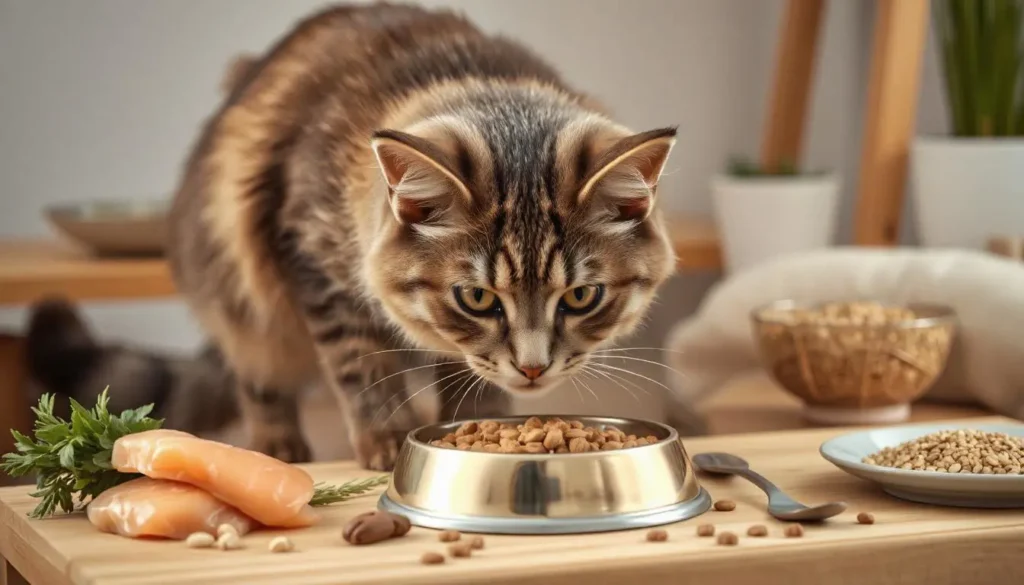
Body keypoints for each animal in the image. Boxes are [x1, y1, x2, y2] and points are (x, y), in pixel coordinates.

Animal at [165, 1, 679, 471]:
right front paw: (388, 440)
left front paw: (481, 425)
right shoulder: (314, 262)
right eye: (476, 297)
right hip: (248, 308)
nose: (532, 369)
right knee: (259, 379)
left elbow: (466, 372)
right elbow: (363, 364)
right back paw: (276, 448)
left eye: (581, 297)